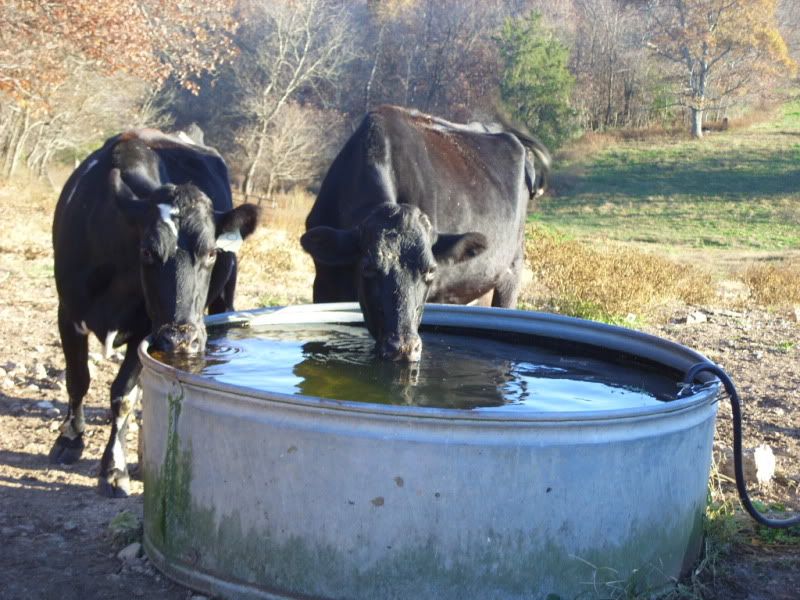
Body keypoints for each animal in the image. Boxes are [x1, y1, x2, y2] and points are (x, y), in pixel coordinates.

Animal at [51, 128, 259, 497]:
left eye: (211, 253)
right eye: (147, 251)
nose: (181, 339)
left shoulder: (147, 330)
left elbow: (123, 393)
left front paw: (113, 468)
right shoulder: (69, 312)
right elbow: (78, 379)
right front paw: (70, 439)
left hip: (225, 294)